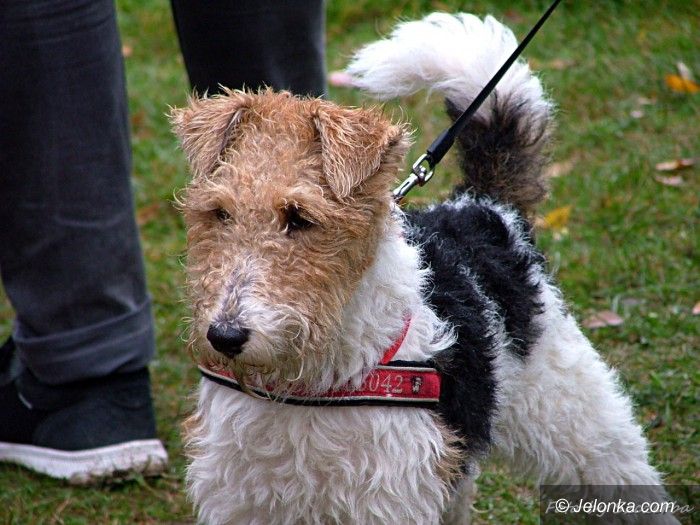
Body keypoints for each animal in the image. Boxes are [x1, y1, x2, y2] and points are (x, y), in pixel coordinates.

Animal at [170, 12, 675, 525]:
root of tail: (481, 207)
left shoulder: (386, 496)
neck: (309, 382)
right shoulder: (241, 497)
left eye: (299, 217)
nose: (225, 336)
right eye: (219, 213)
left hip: (577, 418)